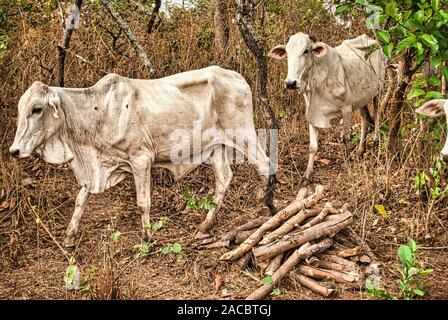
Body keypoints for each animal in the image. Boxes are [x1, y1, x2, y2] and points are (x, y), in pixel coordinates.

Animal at [9, 66, 276, 249]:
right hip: (216, 146)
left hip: (243, 133)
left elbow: (143, 203)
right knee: (224, 178)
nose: (14, 150)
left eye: (37, 109)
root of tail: (237, 77)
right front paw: (69, 237)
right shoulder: (97, 169)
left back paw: (267, 209)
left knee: (265, 165)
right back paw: (206, 224)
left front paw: (147, 238)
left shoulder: (141, 159)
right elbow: (80, 200)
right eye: (21, 109)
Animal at [268, 32, 386, 185]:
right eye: (287, 52)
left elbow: (345, 138)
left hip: (379, 91)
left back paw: (376, 144)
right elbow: (313, 146)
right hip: (362, 99)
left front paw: (348, 164)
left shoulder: (347, 109)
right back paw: (360, 151)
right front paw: (307, 175)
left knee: (377, 118)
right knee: (365, 119)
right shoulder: (312, 113)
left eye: (306, 51)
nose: (290, 83)